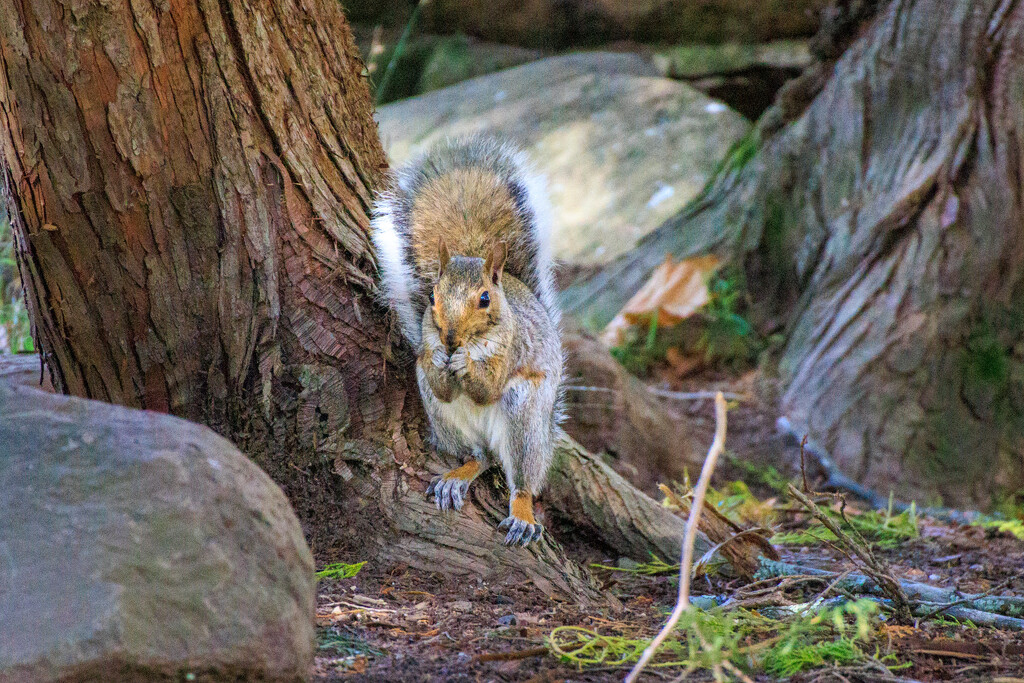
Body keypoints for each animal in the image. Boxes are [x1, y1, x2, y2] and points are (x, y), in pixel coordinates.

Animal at [370, 136, 565, 548]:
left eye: (485, 299)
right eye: (432, 296)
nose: (449, 339)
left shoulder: (512, 348)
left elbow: (487, 387)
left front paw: (465, 366)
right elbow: (438, 378)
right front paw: (441, 362)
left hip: (525, 417)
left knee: (523, 478)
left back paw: (522, 513)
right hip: (446, 421)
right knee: (479, 457)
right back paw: (457, 477)